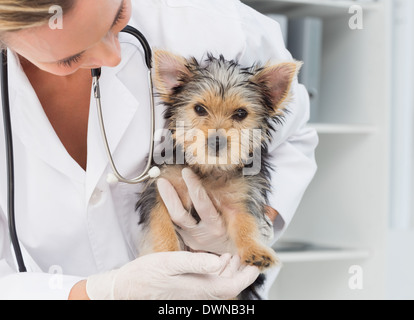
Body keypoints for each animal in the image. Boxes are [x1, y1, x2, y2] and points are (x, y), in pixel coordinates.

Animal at [136, 50, 300, 298]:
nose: (216, 140)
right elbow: (161, 224)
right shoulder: (159, 188)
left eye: (241, 113)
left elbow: (245, 223)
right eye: (199, 109)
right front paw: (165, 260)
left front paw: (255, 250)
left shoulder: (241, 197)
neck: (209, 169)